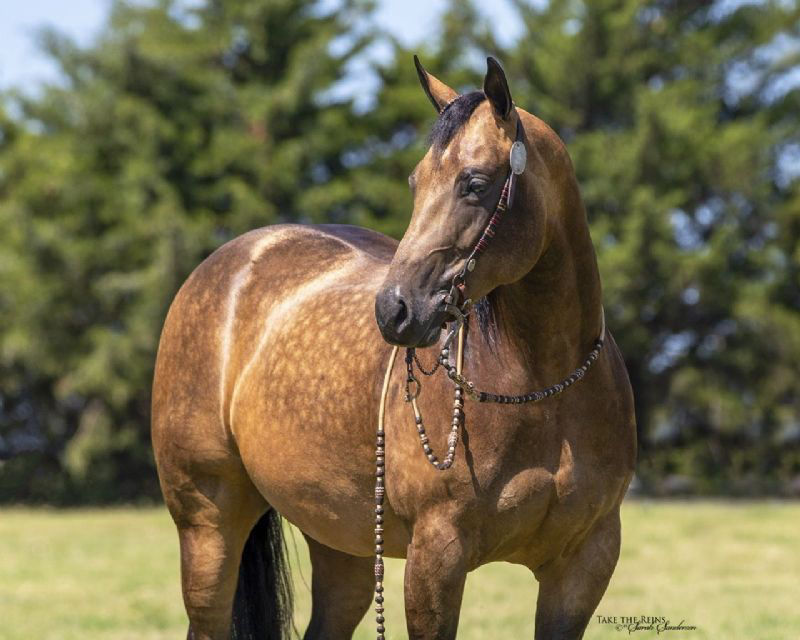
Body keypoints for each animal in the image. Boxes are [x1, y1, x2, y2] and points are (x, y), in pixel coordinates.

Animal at [151, 56, 636, 640]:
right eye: (415, 181)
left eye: (475, 183)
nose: (395, 311)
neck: (545, 391)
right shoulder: (437, 558)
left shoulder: (584, 563)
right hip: (209, 524)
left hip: (341, 540)